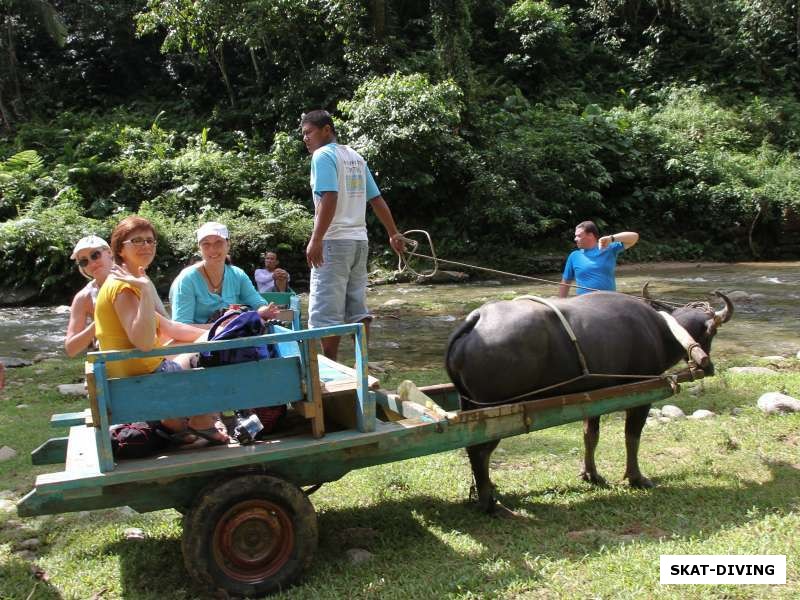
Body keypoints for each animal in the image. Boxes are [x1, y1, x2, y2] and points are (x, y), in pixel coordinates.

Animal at [444, 288, 732, 512]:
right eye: (712, 333)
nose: (707, 364)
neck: (660, 332)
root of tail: (477, 320)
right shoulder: (641, 396)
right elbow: (632, 438)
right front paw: (636, 477)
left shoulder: (594, 397)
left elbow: (590, 436)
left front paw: (591, 474)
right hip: (494, 414)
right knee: (479, 451)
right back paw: (487, 500)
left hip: (471, 406)